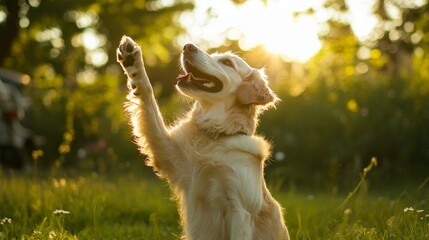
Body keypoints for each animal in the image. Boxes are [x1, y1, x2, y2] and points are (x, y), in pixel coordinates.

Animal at [116, 36, 288, 240]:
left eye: (227, 62)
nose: (187, 46)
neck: (214, 136)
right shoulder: (167, 152)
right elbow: (148, 94)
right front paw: (132, 60)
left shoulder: (241, 211)